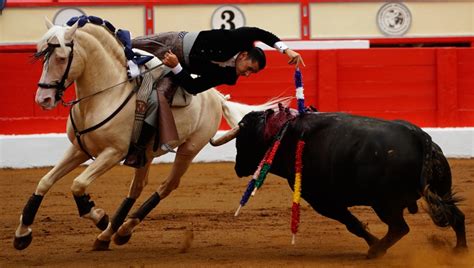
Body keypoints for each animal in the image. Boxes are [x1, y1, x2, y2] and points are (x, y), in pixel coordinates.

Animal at [13, 17, 288, 250]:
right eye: (41, 55)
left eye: (61, 57)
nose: (43, 99)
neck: (105, 94)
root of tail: (215, 98)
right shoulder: (79, 148)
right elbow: (45, 181)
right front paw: (23, 234)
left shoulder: (112, 153)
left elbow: (78, 184)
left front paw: (99, 216)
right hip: (144, 152)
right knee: (136, 188)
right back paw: (109, 235)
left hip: (189, 148)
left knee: (167, 185)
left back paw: (120, 230)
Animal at [211, 110, 466, 258]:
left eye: (241, 141)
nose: (238, 166)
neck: (284, 134)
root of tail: (420, 137)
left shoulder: (323, 201)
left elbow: (352, 224)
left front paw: (372, 242)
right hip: (441, 190)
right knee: (457, 216)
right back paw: (459, 250)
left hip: (385, 204)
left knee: (399, 228)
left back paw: (375, 251)